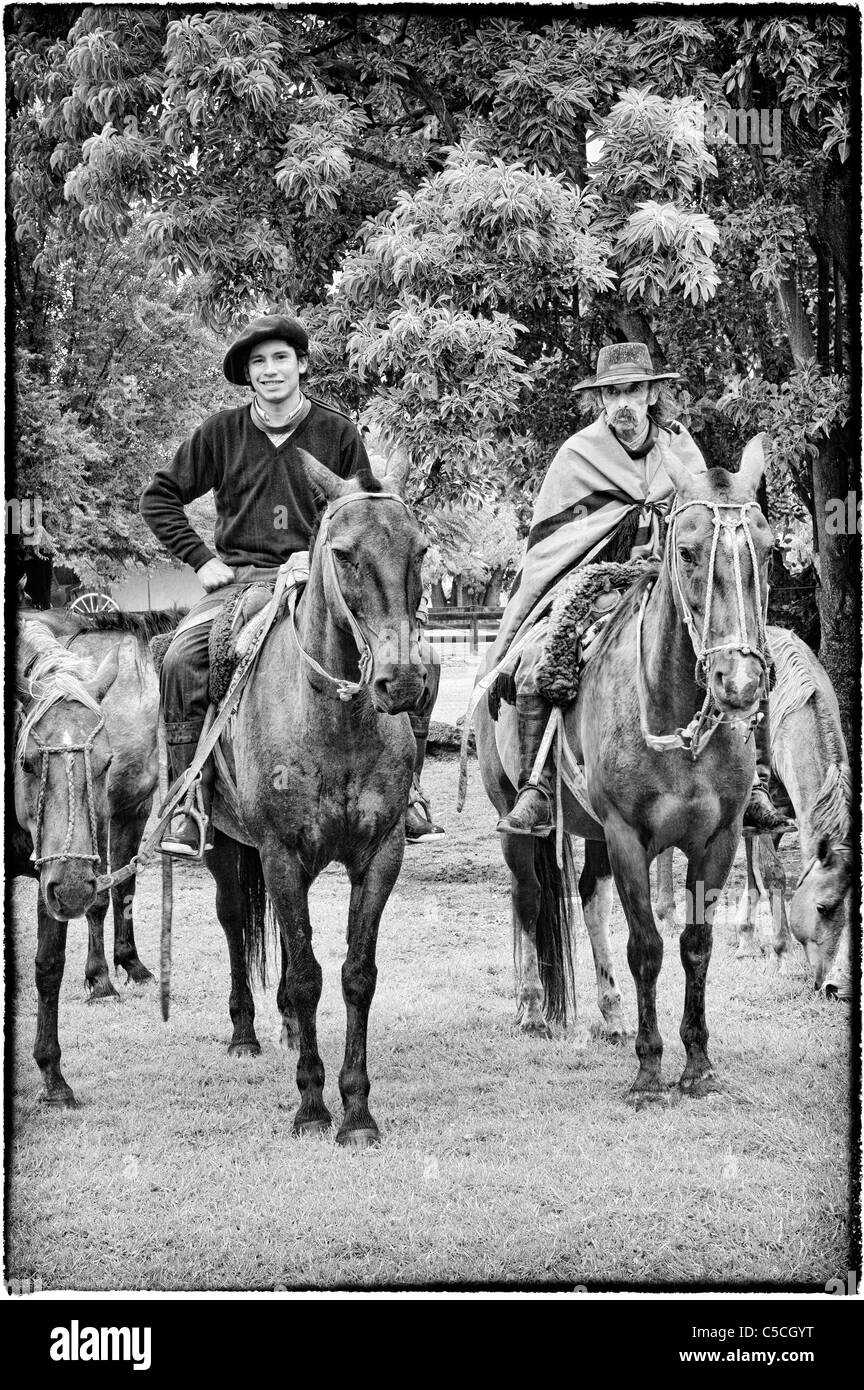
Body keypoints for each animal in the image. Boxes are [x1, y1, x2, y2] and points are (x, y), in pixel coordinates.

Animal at [195, 455, 427, 1150]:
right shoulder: (278, 853)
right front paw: (311, 1106)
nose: (403, 681)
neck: (335, 722)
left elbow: (355, 974)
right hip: (228, 847)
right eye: (344, 554)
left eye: (420, 551)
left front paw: (356, 1110)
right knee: (233, 923)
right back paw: (246, 1032)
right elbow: (304, 973)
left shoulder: (381, 856)